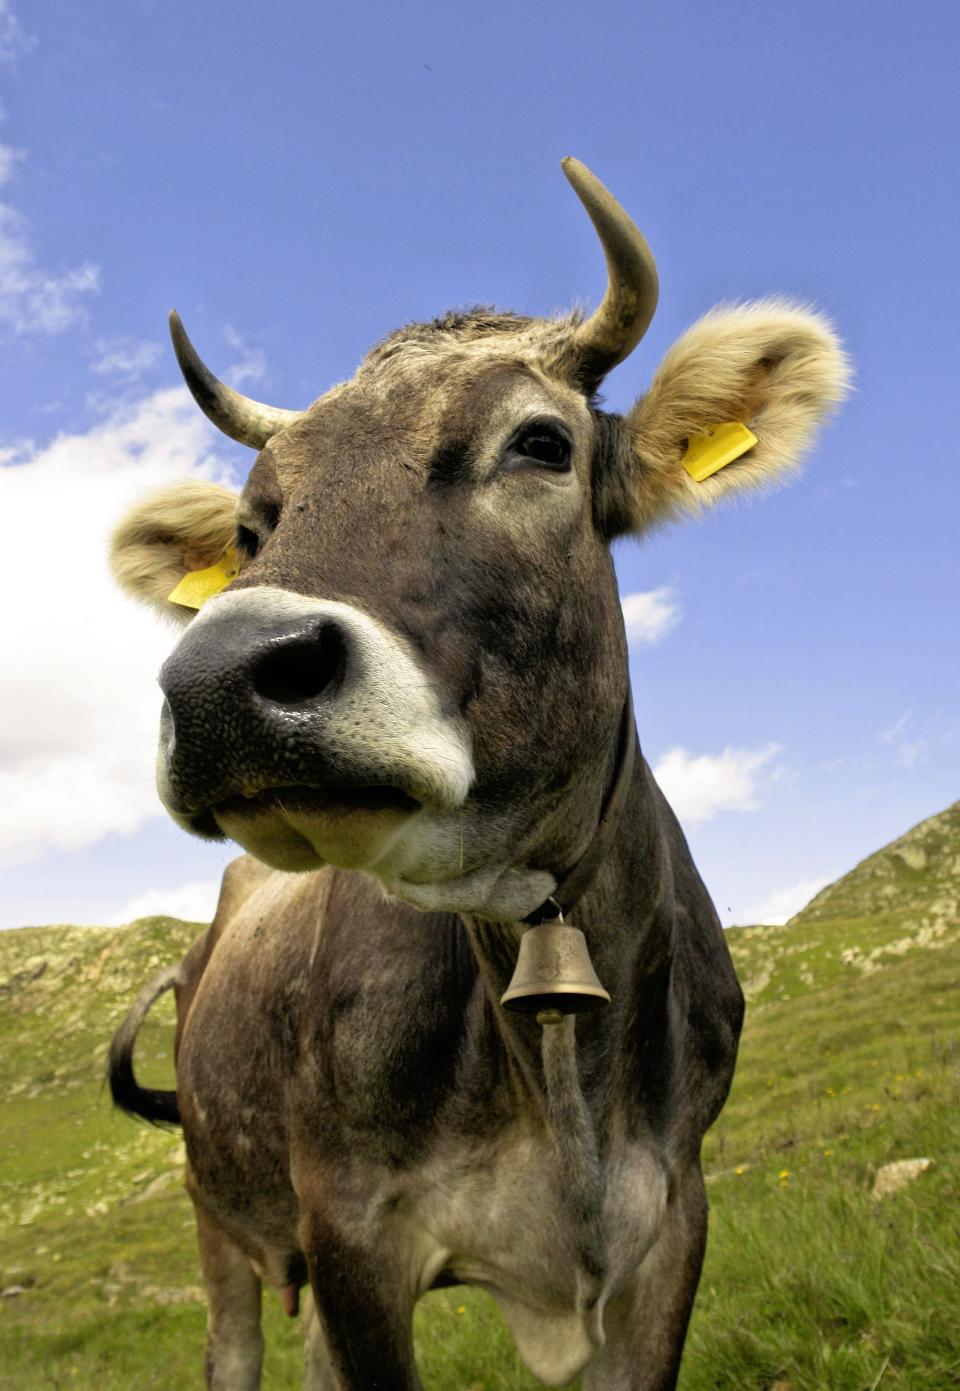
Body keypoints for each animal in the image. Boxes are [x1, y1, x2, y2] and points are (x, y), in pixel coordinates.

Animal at [108, 162, 851, 1391]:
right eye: (256, 521)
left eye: (541, 443)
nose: (218, 682)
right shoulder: (352, 1229)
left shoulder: (674, 1217)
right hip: (220, 1208)